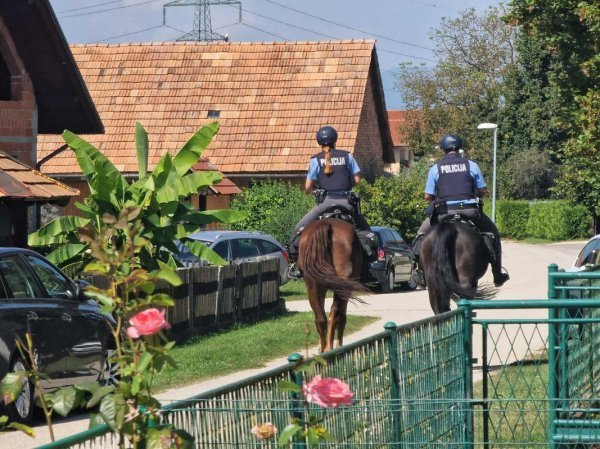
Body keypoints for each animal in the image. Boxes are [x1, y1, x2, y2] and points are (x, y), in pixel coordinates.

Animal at [296, 218, 368, 354]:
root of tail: (326, 224)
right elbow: (342, 317)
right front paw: (338, 345)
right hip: (342, 287)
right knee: (335, 314)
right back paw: (331, 348)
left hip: (313, 287)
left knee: (321, 318)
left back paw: (325, 349)